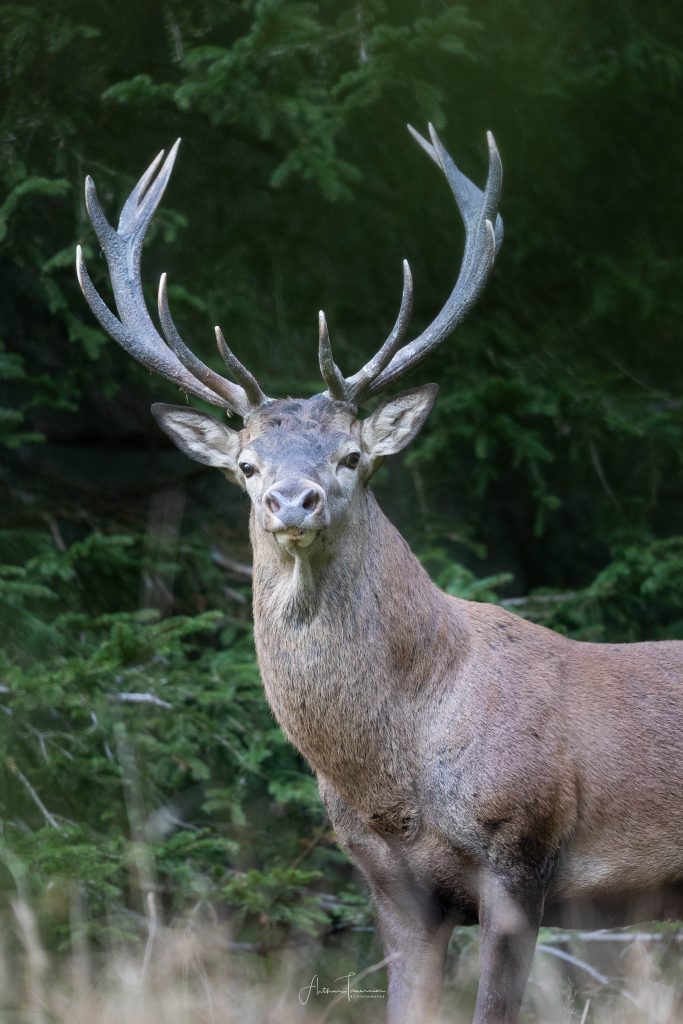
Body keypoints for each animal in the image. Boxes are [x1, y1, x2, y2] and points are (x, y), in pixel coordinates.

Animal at [76, 125, 683, 1024]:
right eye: (247, 465)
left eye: (352, 456)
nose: (294, 499)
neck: (393, 769)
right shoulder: (389, 884)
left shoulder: (523, 845)